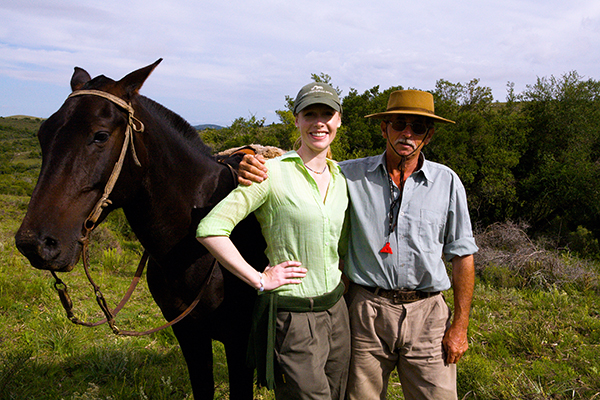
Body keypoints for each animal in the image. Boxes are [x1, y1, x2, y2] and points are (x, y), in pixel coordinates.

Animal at [13, 57, 268, 398]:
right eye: (43, 133)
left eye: (100, 135)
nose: (35, 243)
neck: (194, 249)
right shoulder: (189, 334)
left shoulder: (239, 343)